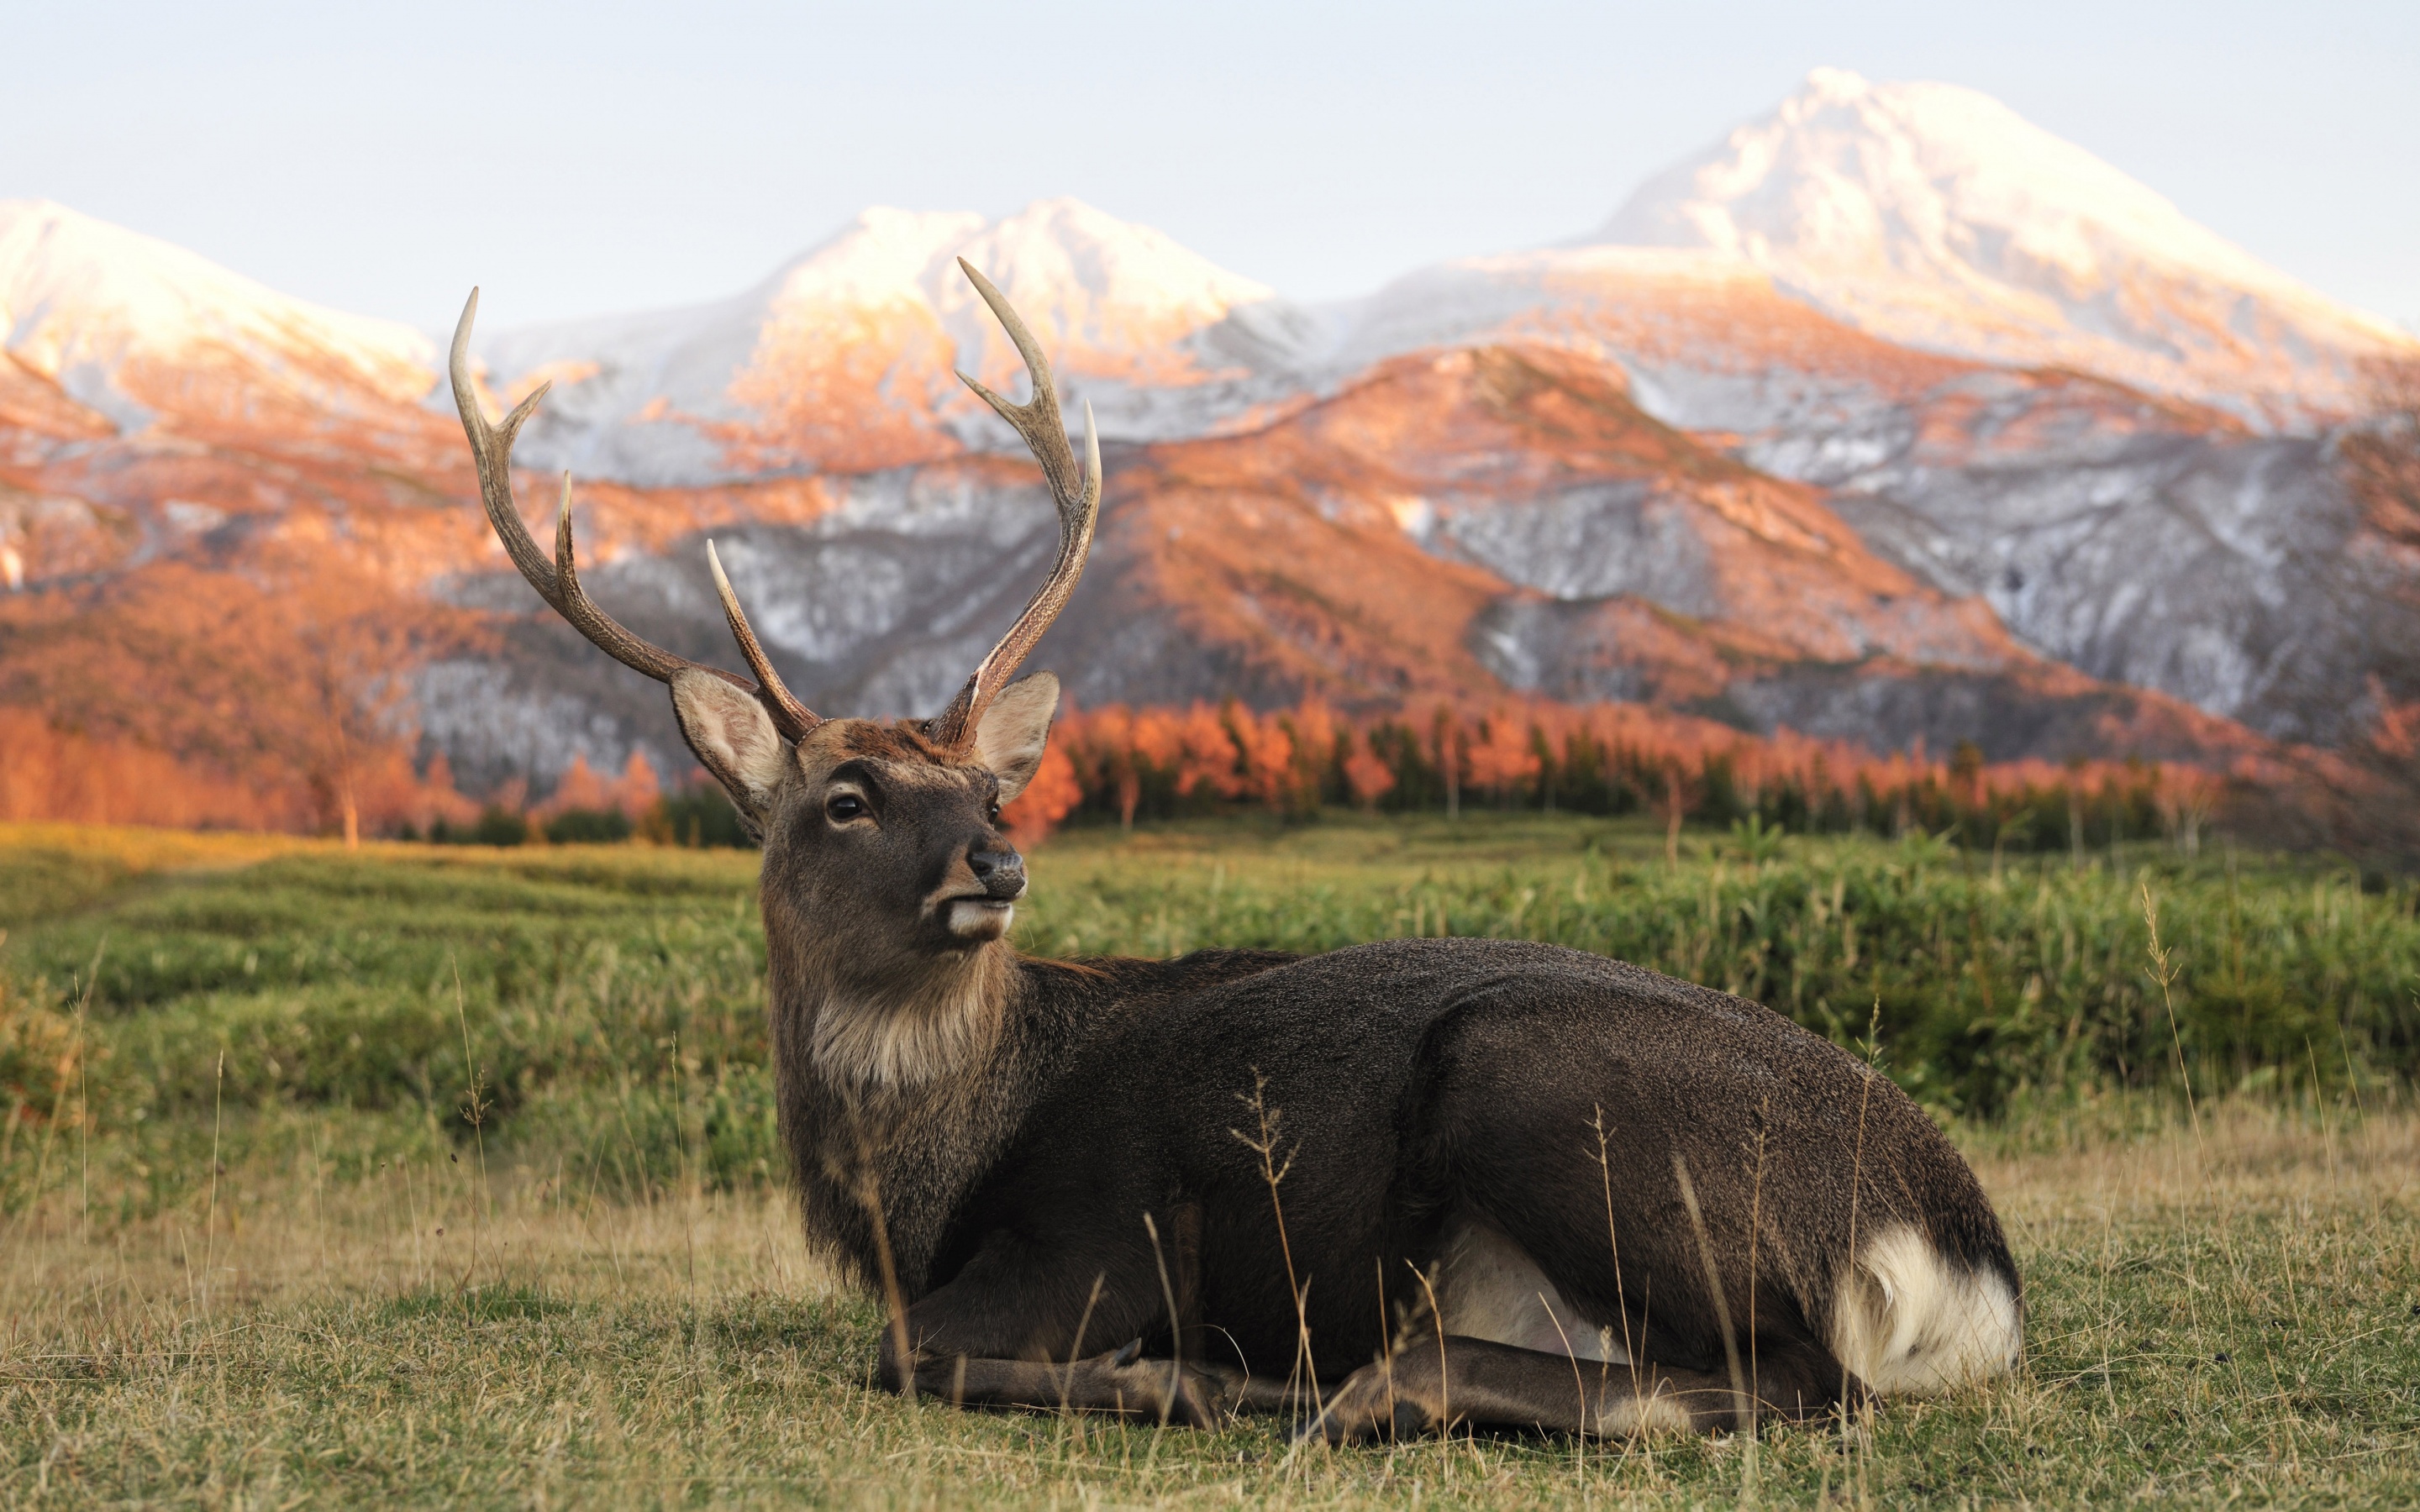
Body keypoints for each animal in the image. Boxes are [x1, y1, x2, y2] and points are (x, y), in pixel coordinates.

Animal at [445, 265, 2013, 1441]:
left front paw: (1169, 1376)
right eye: (845, 798)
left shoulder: (1097, 1237)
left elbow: (902, 1352)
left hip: (1544, 1089)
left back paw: (1327, 1386)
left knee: (1795, 1381)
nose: (992, 868)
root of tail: (1965, 1261)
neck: (920, 1186)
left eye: (988, 790)